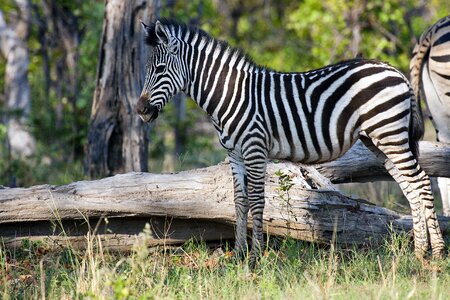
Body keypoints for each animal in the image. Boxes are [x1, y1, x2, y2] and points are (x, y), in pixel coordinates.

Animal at [135, 19, 444, 266]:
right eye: (147, 68)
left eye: (159, 69)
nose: (141, 110)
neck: (230, 95)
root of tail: (395, 71)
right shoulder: (235, 155)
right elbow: (239, 201)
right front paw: (238, 255)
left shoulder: (255, 149)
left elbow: (257, 201)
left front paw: (256, 258)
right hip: (379, 141)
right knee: (410, 186)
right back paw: (419, 253)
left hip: (391, 135)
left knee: (421, 182)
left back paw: (438, 253)